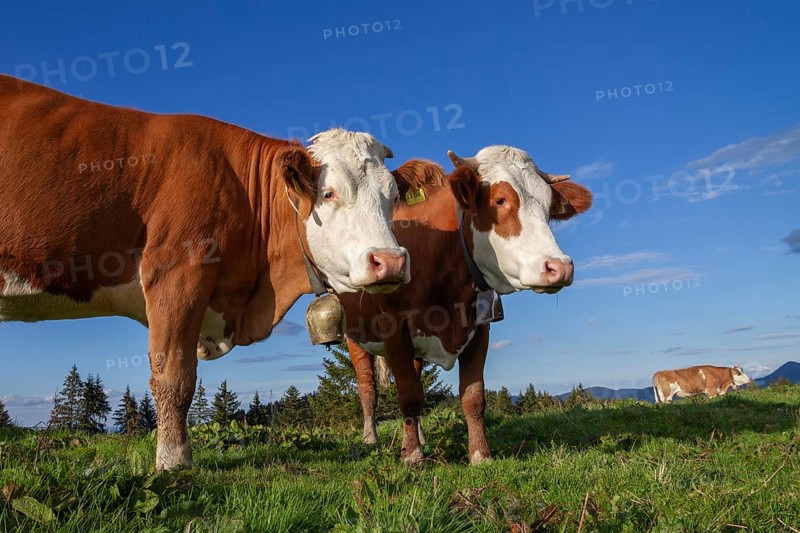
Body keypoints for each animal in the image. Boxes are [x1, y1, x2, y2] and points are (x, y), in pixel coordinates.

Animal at [0, 75, 409, 470]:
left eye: (393, 197)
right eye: (328, 194)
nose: (390, 260)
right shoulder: (177, 271)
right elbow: (174, 376)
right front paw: (173, 463)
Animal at [340, 147, 593, 464]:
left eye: (549, 207)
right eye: (500, 200)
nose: (560, 267)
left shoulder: (479, 329)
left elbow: (472, 397)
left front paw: (480, 453)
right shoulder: (395, 328)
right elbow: (407, 396)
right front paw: (411, 456)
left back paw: (421, 435)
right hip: (355, 339)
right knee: (368, 389)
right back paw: (371, 438)